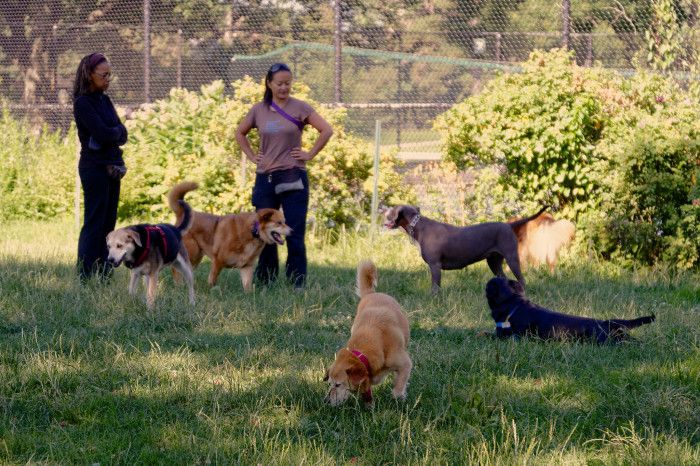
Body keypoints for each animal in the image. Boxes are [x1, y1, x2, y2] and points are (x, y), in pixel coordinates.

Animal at [326, 260, 412, 406]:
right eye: (330, 383)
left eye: (338, 384)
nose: (326, 401)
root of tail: (371, 293)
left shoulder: (405, 363)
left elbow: (399, 385)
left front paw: (398, 397)